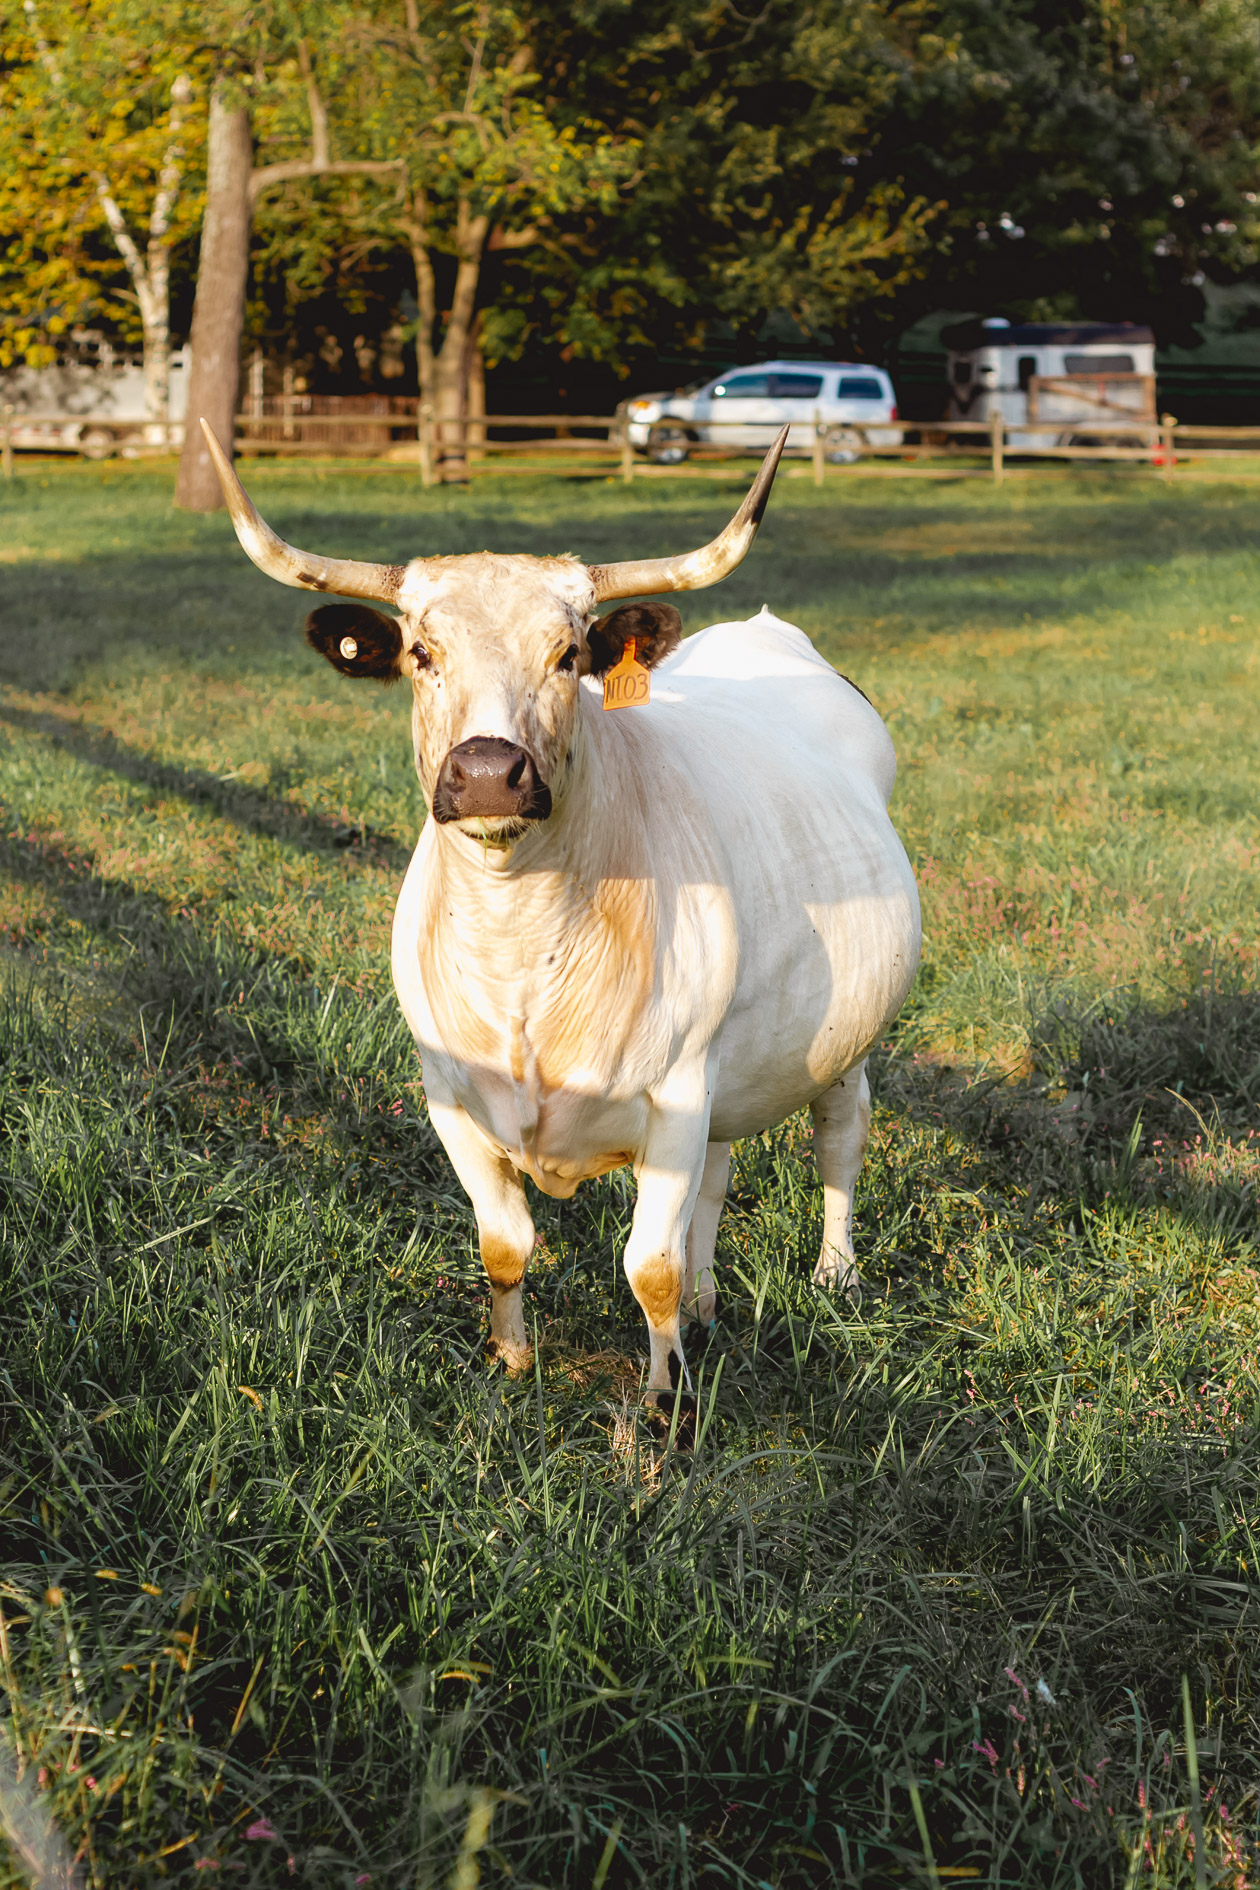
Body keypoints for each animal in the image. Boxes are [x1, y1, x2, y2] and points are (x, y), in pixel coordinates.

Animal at [204, 429, 918, 1406]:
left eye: (568, 653)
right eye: (420, 653)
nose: (487, 773)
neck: (522, 948)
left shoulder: (675, 1093)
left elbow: (648, 1267)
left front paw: (664, 1401)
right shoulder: (450, 1094)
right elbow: (505, 1243)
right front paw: (510, 1360)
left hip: (843, 1039)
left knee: (840, 1137)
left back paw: (834, 1276)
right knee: (720, 1176)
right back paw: (708, 1304)